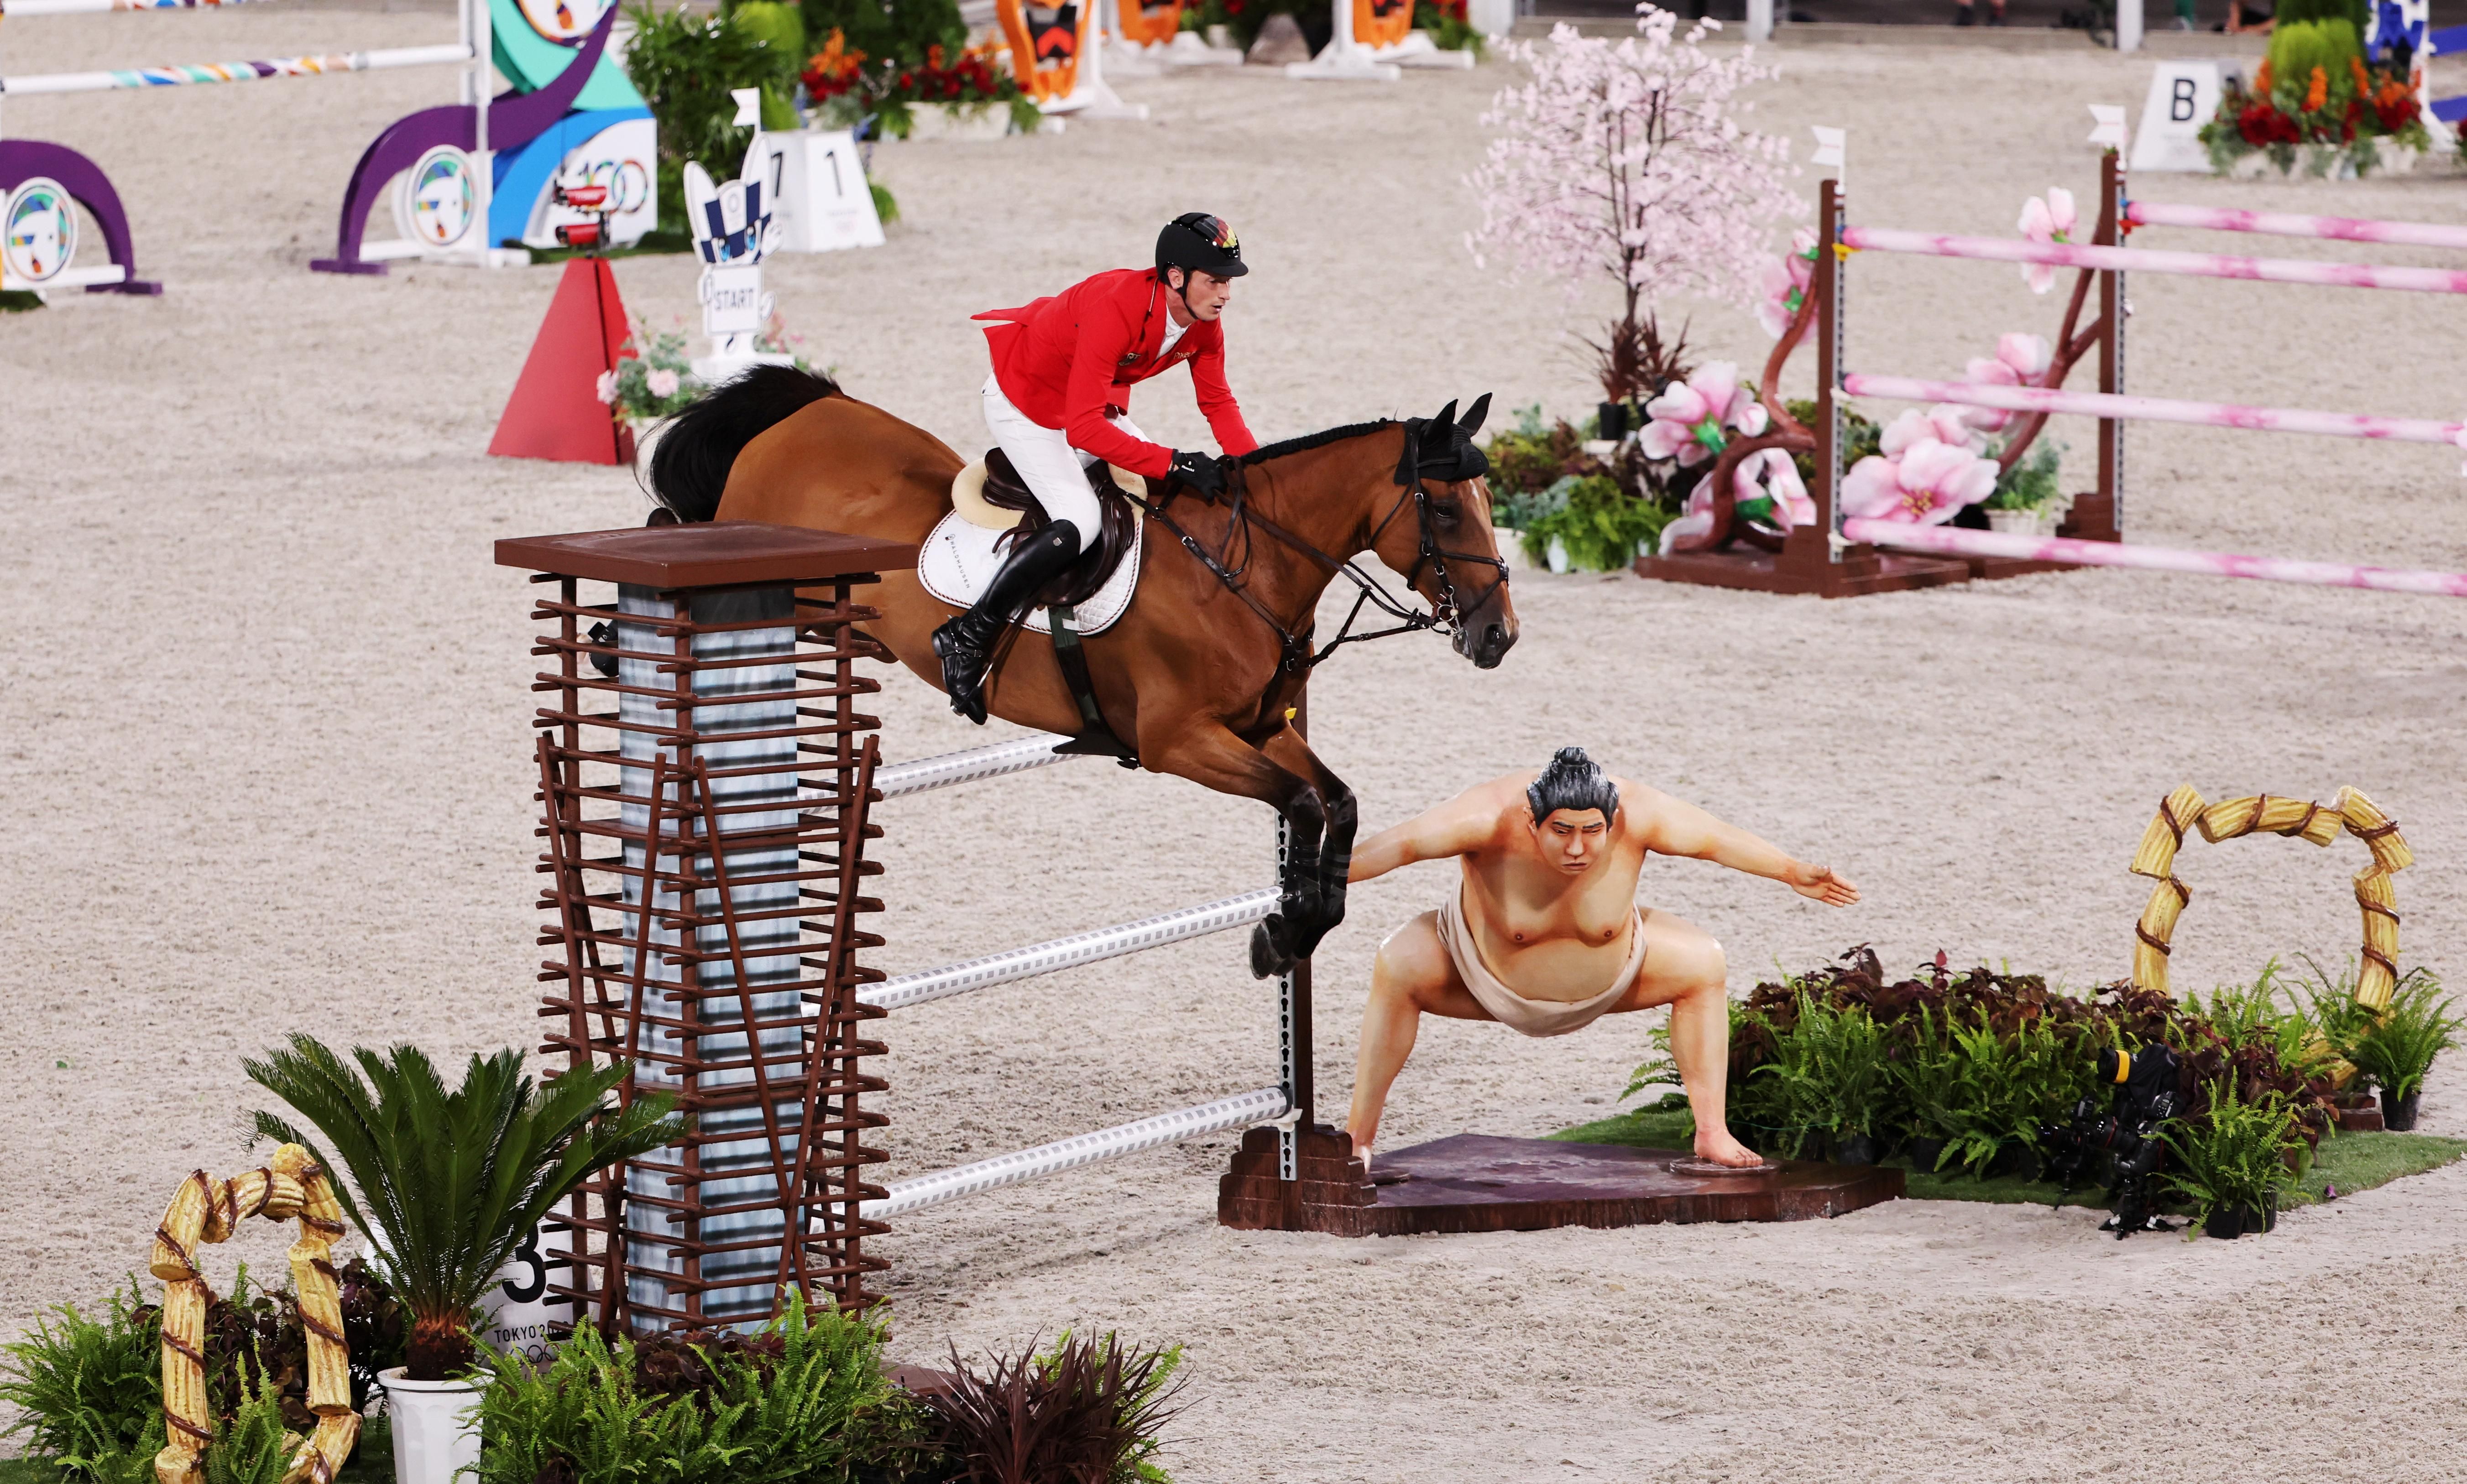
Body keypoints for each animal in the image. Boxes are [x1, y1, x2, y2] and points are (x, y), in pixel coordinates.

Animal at [646, 367, 1510, 971]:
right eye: (1443, 510)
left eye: (1486, 499)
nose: (1499, 635)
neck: (1242, 568)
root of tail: (805, 409)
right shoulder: (1178, 742)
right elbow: (1300, 803)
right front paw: (1283, 929)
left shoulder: (1263, 727)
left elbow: (1340, 803)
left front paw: (1299, 926)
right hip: (766, 577)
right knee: (674, 536)